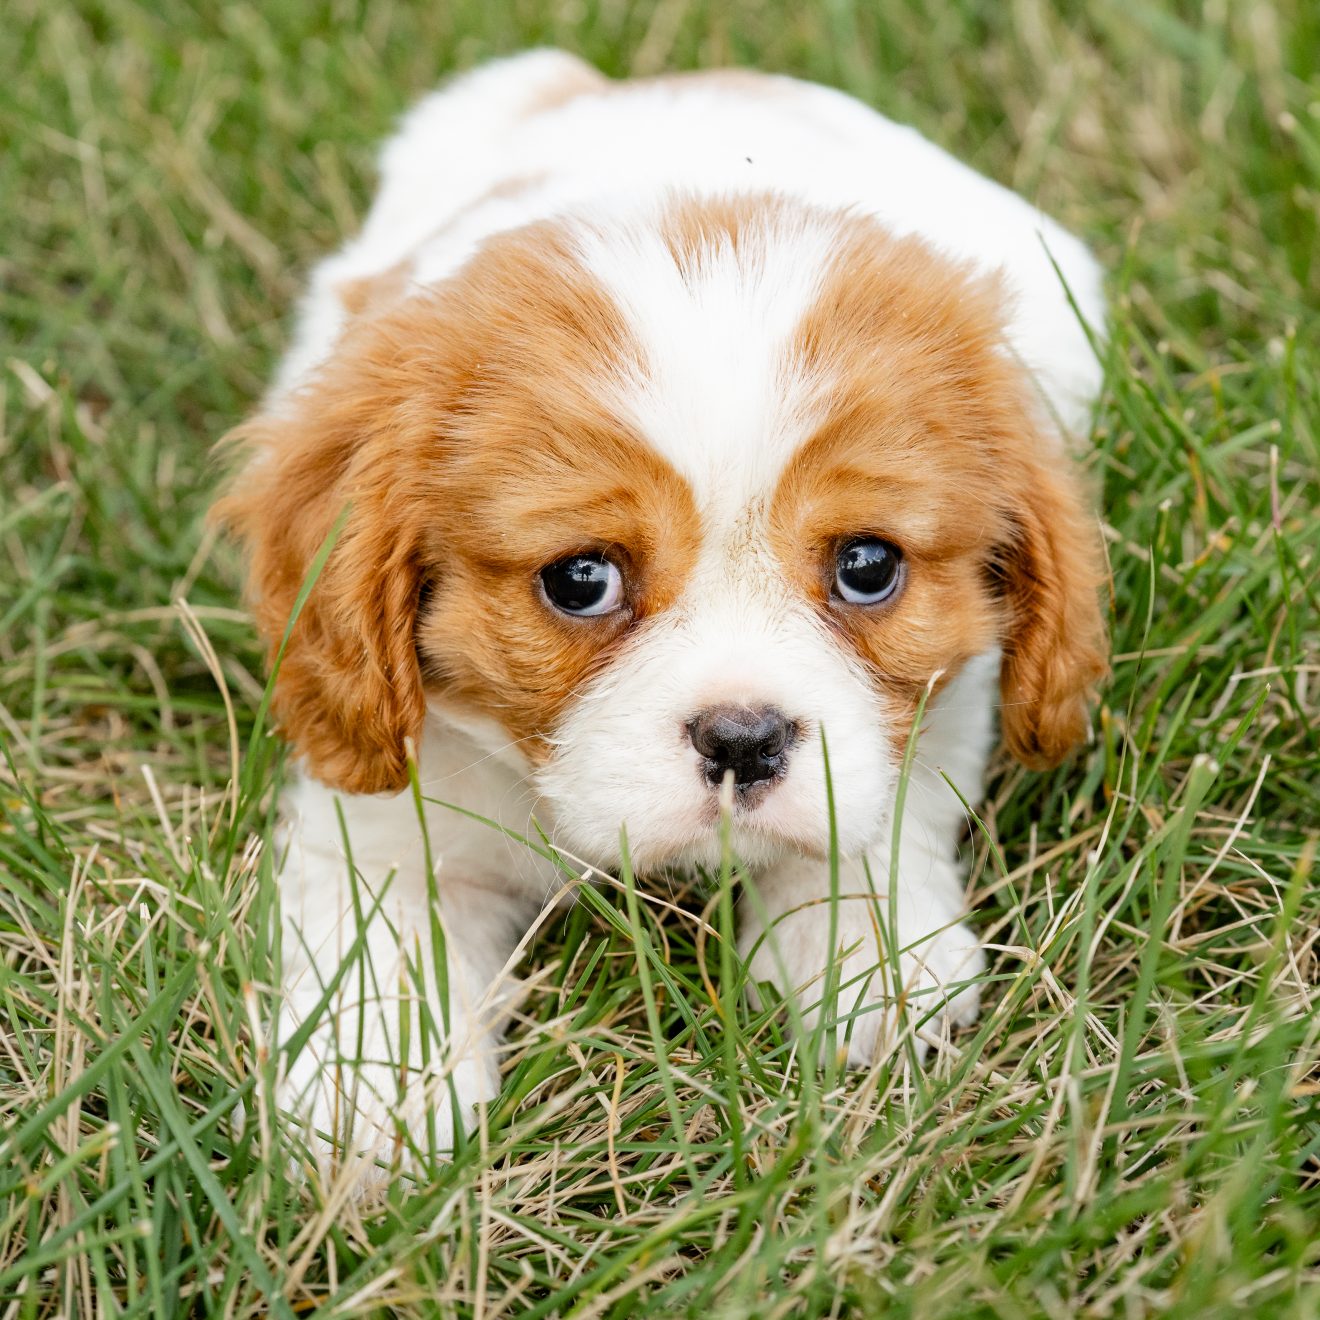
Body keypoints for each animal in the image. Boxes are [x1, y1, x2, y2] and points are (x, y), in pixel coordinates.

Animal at [216, 48, 1103, 1177]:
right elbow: (384, 920)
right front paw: (371, 1093)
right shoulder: (380, 801)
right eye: (581, 581)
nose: (744, 740)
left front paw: (860, 948)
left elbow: (886, 799)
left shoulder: (950, 698)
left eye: (868, 566)